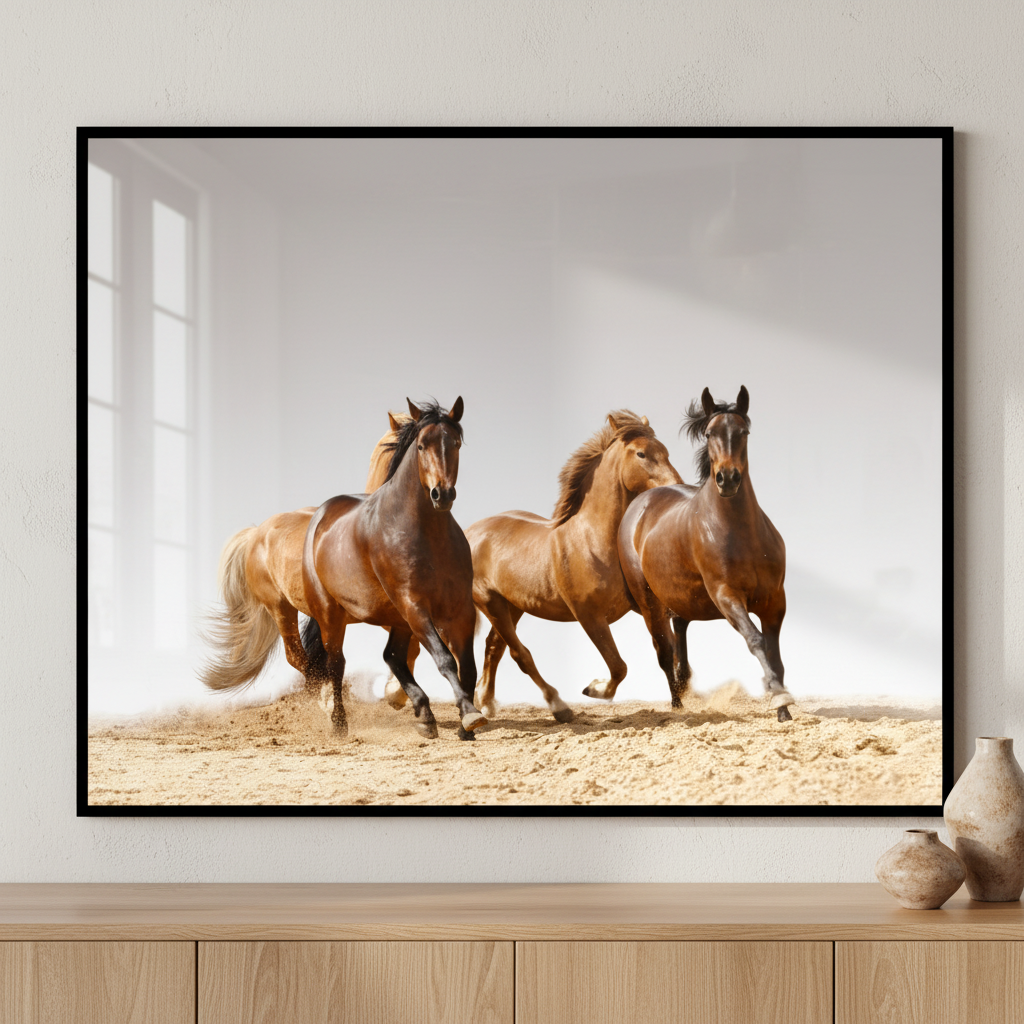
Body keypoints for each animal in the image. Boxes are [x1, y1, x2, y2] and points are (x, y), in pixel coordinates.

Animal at [302, 398, 484, 740]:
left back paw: (424, 715)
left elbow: (467, 665)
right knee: (337, 664)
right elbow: (445, 659)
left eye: (455, 443)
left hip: (397, 617)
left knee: (392, 656)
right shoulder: (415, 605)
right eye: (422, 445)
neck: (427, 535)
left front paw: (467, 723)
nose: (442, 494)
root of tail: (321, 516)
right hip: (333, 615)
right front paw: (470, 714)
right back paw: (339, 724)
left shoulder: (460, 609)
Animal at [466, 411, 682, 723]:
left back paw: (486, 703)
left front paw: (681, 703)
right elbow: (619, 666)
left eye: (665, 451)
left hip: (513, 606)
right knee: (520, 654)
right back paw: (559, 706)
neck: (592, 540)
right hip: (491, 603)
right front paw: (594, 689)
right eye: (641, 453)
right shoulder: (589, 616)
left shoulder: (646, 606)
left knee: (493, 647)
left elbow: (667, 651)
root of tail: (470, 532)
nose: (676, 485)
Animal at [616, 386, 795, 722]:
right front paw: (779, 697)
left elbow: (775, 652)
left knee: (680, 641)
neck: (741, 535)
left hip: (680, 599)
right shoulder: (726, 596)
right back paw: (677, 706)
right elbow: (756, 640)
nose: (728, 478)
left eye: (743, 432)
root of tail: (640, 503)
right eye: (710, 433)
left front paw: (783, 708)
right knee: (664, 652)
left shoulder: (774, 601)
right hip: (650, 604)